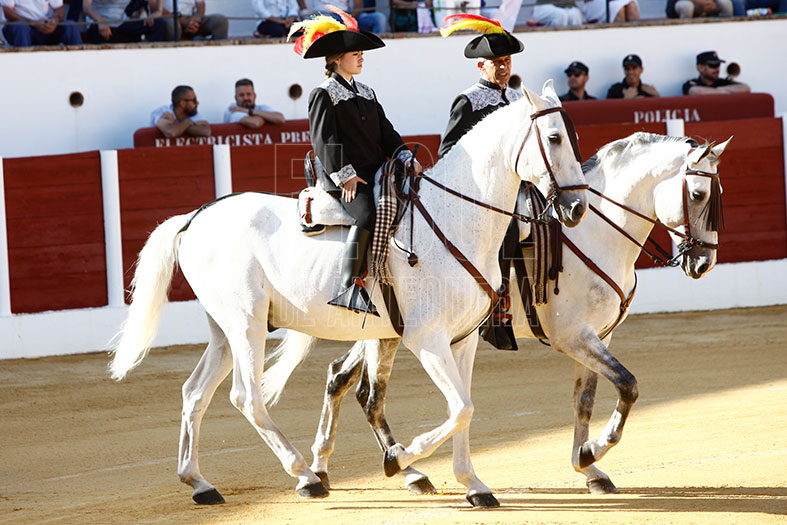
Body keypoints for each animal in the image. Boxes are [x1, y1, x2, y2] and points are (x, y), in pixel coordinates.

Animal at [108, 79, 589, 508]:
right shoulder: (426, 339)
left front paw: (473, 484)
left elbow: (465, 408)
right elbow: (460, 409)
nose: (577, 207)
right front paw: (399, 460)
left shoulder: (463, 339)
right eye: (553, 137)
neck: (454, 219)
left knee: (195, 392)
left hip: (224, 329)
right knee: (246, 397)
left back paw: (199, 483)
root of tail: (196, 216)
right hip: (246, 325)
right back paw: (305, 476)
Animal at [270, 132, 731, 496]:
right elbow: (629, 385)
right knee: (363, 390)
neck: (595, 232)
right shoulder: (573, 336)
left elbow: (586, 400)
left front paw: (589, 466)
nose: (704, 263)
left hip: (387, 329)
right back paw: (400, 469)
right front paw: (592, 453)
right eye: (698, 194)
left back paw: (328, 469)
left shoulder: (599, 335)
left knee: (339, 378)